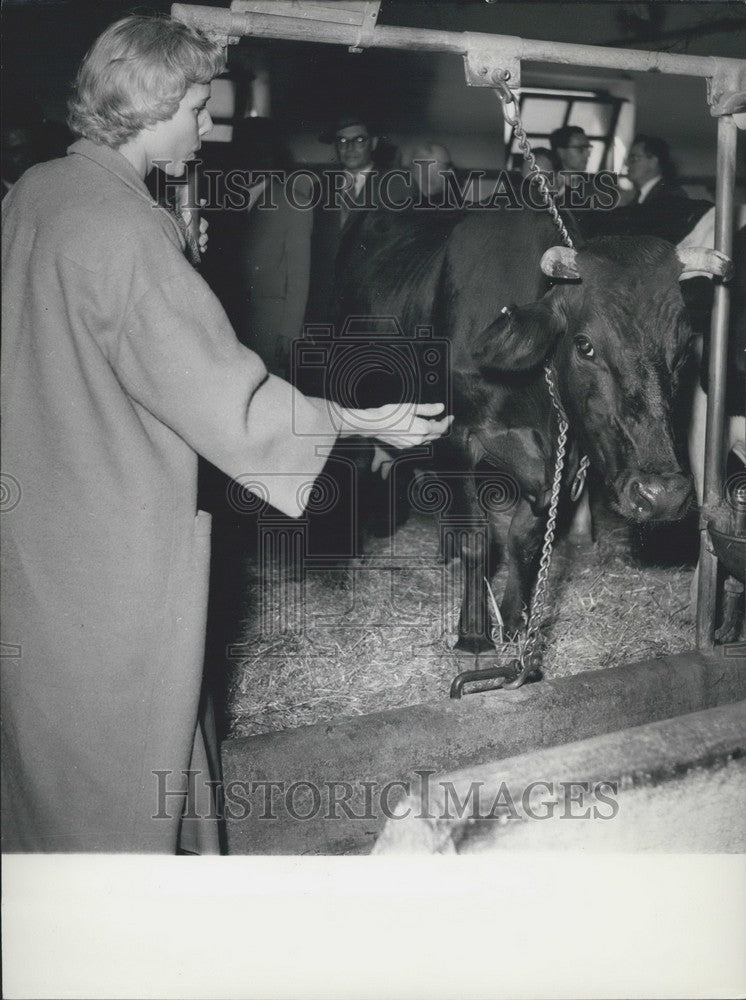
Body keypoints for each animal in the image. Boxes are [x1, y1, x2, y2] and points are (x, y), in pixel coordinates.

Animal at [330, 207, 720, 652]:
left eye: (683, 348)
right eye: (585, 345)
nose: (662, 495)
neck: (531, 393)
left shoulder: (563, 459)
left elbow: (524, 539)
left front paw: (516, 621)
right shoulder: (455, 437)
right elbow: (478, 540)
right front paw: (474, 633)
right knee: (355, 465)